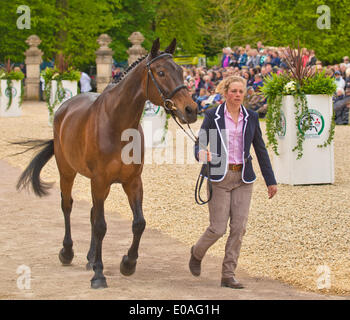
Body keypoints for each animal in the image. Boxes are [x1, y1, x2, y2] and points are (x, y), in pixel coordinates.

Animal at [15, 38, 197, 288]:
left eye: (181, 71)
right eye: (161, 72)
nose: (191, 109)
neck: (117, 124)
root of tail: (64, 108)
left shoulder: (132, 181)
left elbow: (138, 223)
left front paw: (127, 263)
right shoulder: (99, 181)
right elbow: (101, 226)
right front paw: (99, 275)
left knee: (93, 212)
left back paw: (91, 258)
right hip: (67, 172)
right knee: (67, 206)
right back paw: (67, 252)